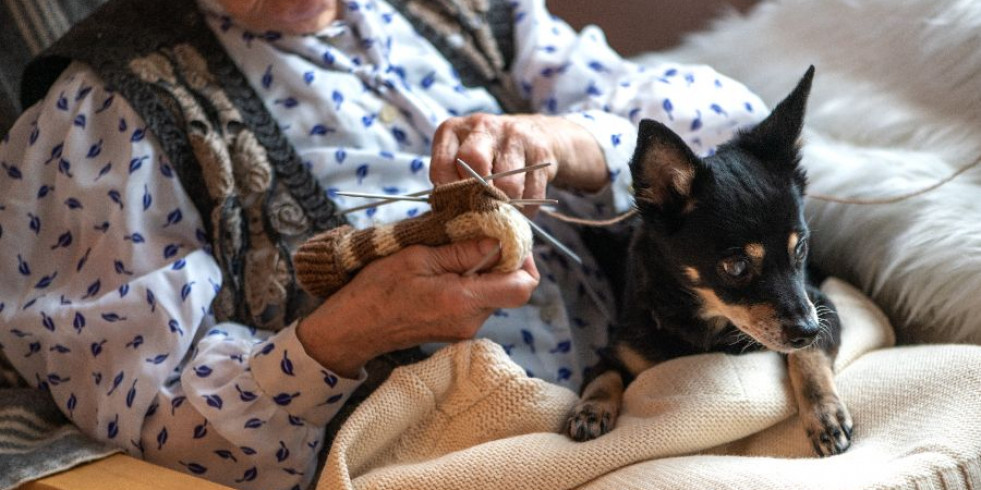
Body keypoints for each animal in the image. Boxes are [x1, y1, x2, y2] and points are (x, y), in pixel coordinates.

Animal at [568, 67, 848, 458]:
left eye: (800, 249)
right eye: (736, 267)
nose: (807, 328)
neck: (709, 321)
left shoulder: (823, 307)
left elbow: (808, 358)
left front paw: (825, 414)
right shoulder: (615, 353)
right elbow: (602, 376)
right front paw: (590, 409)